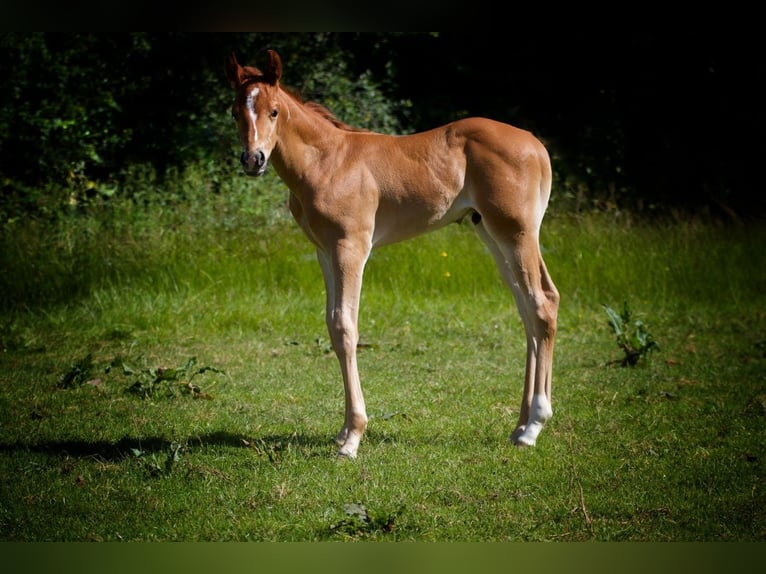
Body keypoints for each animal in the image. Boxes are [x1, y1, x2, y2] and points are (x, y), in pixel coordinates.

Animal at [225, 49, 560, 460]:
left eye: (274, 111)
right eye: (236, 111)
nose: (253, 159)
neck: (326, 161)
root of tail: (536, 145)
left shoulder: (351, 247)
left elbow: (345, 327)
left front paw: (352, 438)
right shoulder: (324, 252)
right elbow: (332, 325)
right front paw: (342, 432)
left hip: (517, 233)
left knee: (542, 304)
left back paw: (534, 425)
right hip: (492, 234)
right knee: (528, 309)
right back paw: (519, 425)